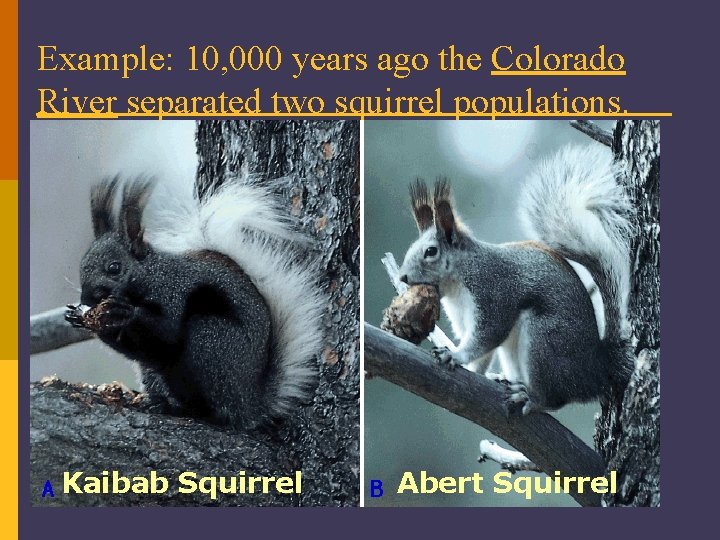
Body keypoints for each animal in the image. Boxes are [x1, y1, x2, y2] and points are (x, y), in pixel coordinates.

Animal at [66, 175, 325, 429]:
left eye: (114, 268)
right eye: (82, 267)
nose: (86, 298)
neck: (151, 275)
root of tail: (250, 404)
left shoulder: (173, 293)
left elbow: (166, 333)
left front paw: (125, 312)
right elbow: (138, 348)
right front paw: (78, 317)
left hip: (209, 341)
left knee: (214, 411)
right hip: (157, 371)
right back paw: (160, 402)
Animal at [398, 144, 633, 416]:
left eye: (431, 251)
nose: (402, 276)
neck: (458, 283)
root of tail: (596, 371)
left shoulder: (493, 292)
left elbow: (487, 336)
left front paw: (456, 356)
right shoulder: (464, 318)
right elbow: (482, 355)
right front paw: (470, 369)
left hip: (544, 341)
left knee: (554, 399)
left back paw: (530, 397)